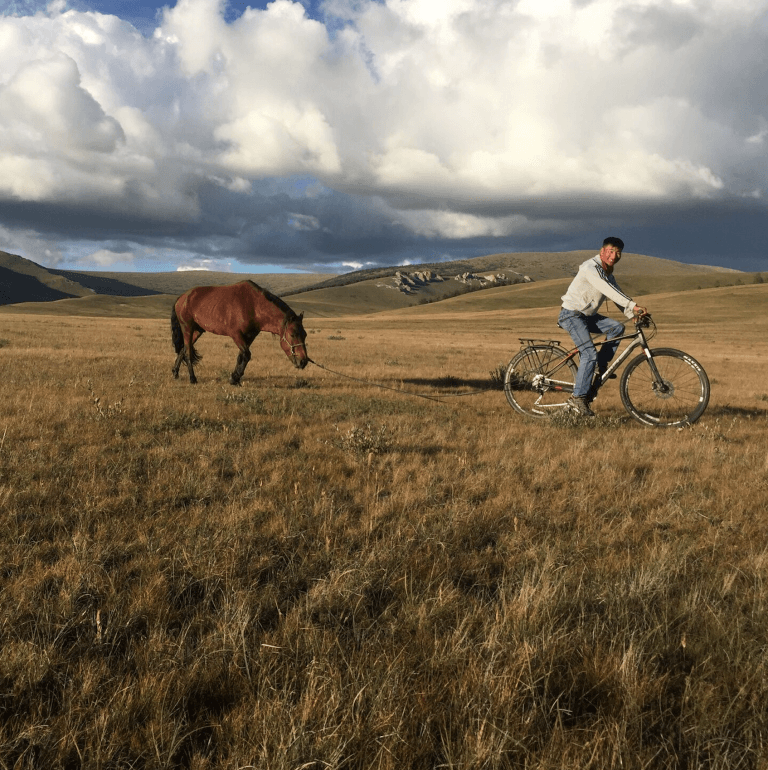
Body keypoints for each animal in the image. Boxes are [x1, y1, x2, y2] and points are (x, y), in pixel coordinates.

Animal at [171, 280, 309, 385]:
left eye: (305, 335)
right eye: (292, 334)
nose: (303, 361)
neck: (253, 305)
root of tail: (182, 297)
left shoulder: (250, 336)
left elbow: (241, 356)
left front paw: (235, 378)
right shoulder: (236, 335)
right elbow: (246, 355)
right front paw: (234, 378)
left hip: (197, 331)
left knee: (183, 349)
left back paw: (175, 372)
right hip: (187, 328)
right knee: (187, 352)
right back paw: (192, 379)